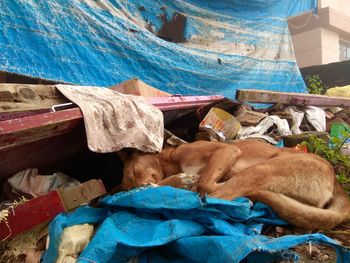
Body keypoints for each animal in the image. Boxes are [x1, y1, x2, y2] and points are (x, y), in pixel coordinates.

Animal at [118, 140, 350, 231]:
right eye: (130, 184)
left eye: (135, 171)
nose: (140, 186)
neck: (171, 160)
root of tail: (335, 181)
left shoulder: (226, 151)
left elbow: (203, 183)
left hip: (262, 169)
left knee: (217, 196)